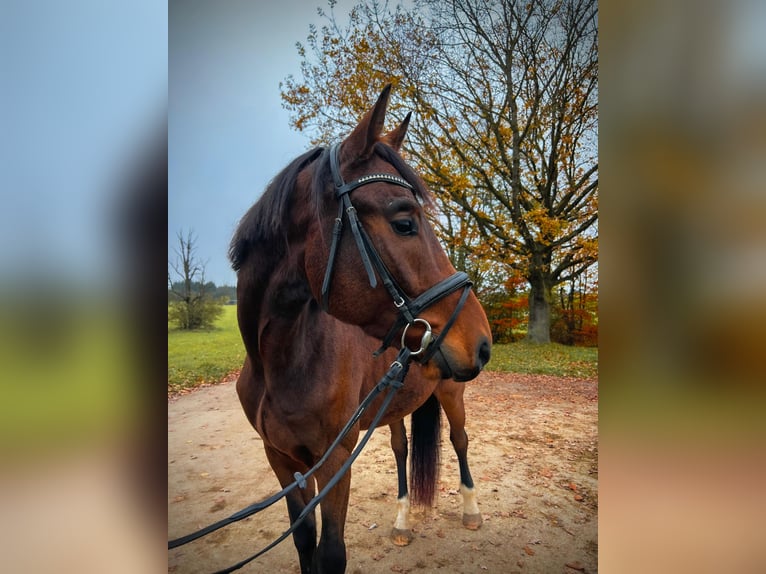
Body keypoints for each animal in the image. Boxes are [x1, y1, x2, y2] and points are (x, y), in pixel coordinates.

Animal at [228, 86, 492, 574]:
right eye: (404, 223)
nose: (482, 342)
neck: (279, 363)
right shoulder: (282, 461)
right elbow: (304, 540)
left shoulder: (335, 462)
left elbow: (331, 552)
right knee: (402, 448)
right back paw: (403, 521)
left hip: (452, 394)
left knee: (460, 441)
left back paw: (470, 510)